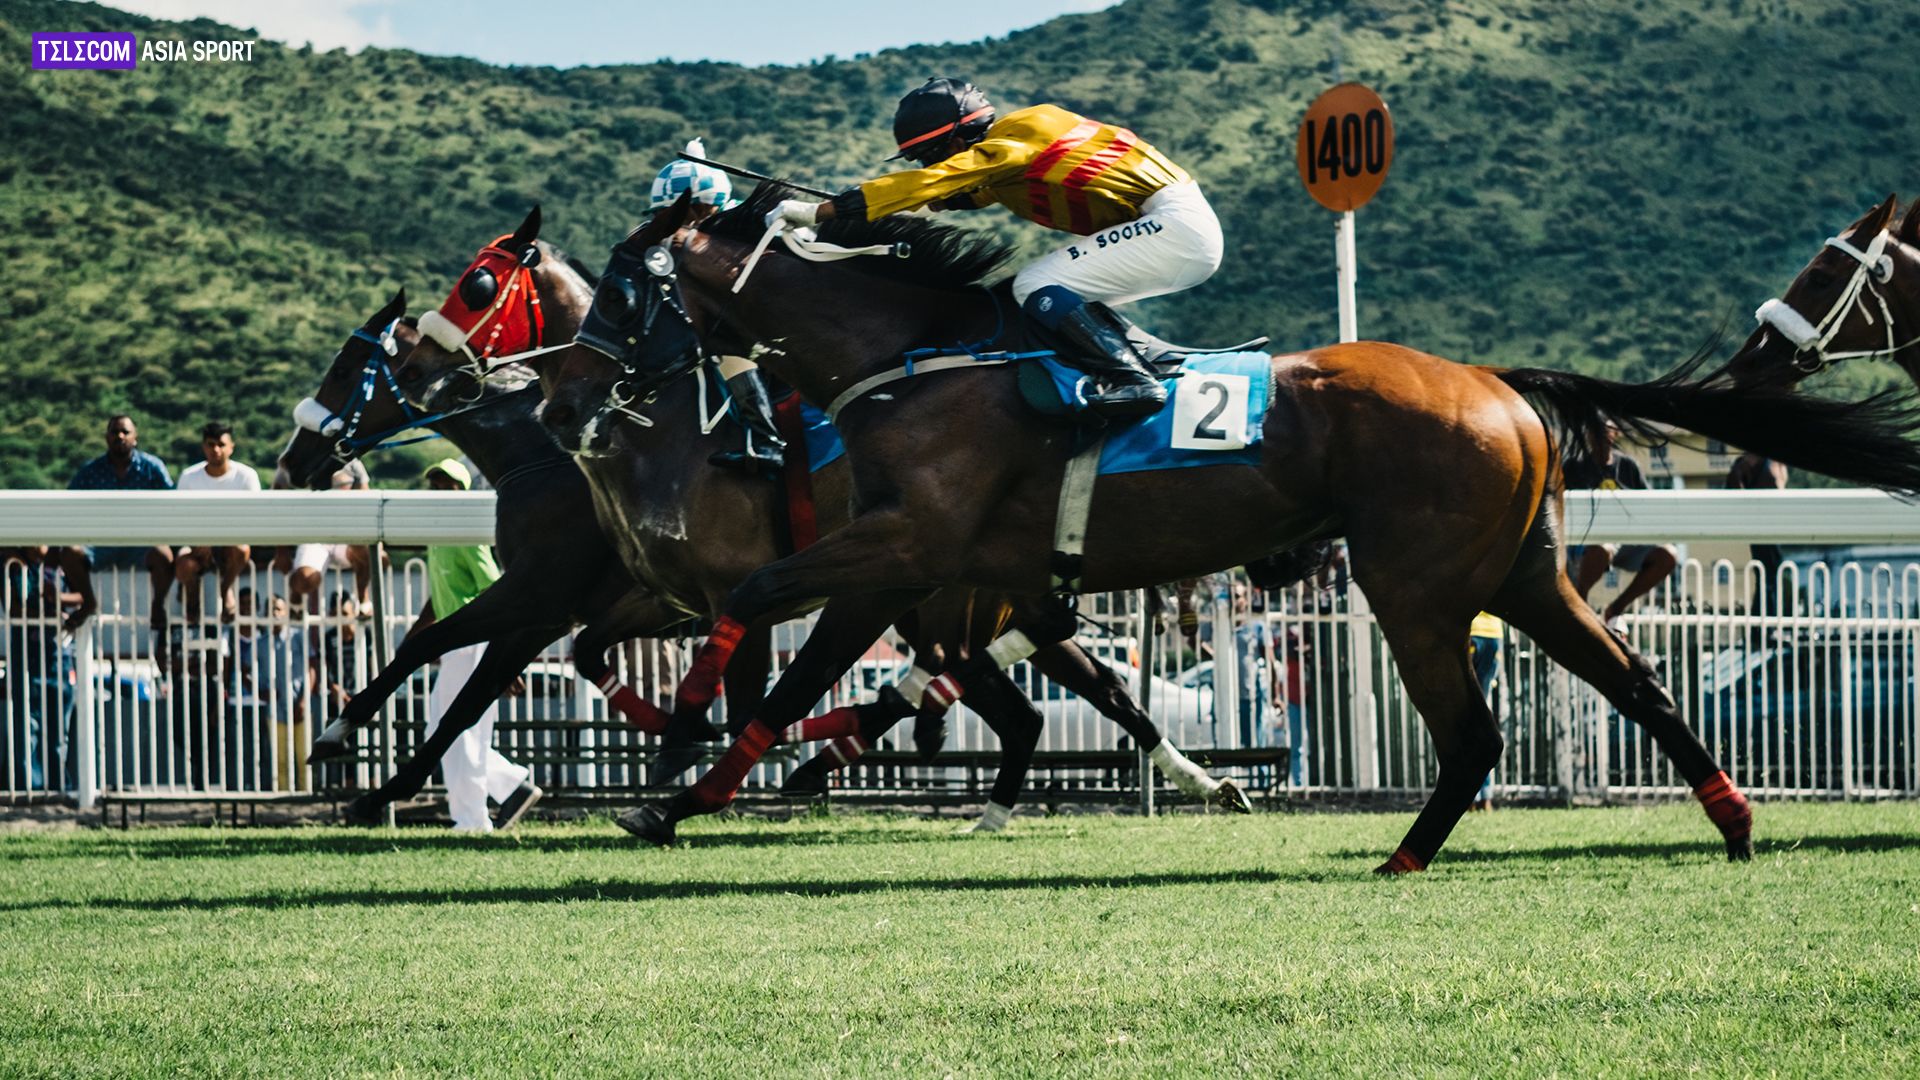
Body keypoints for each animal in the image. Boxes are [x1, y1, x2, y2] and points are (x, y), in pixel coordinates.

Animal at [391, 212, 1251, 834]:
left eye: (477, 285)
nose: (415, 368)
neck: (658, 434)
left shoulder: (633, 591)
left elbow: (736, 696)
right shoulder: (651, 597)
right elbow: (587, 659)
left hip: (946, 600)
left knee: (1050, 693)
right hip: (971, 600)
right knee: (1065, 695)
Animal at [545, 184, 1920, 864]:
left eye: (623, 284)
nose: (575, 390)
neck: (916, 353)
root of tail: (1498, 386)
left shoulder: (906, 554)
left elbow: (747, 615)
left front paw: (671, 746)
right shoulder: (914, 572)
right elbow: (795, 669)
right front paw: (678, 789)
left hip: (1416, 585)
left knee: (1476, 734)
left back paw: (1407, 854)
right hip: (1524, 576)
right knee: (1638, 684)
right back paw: (1732, 822)